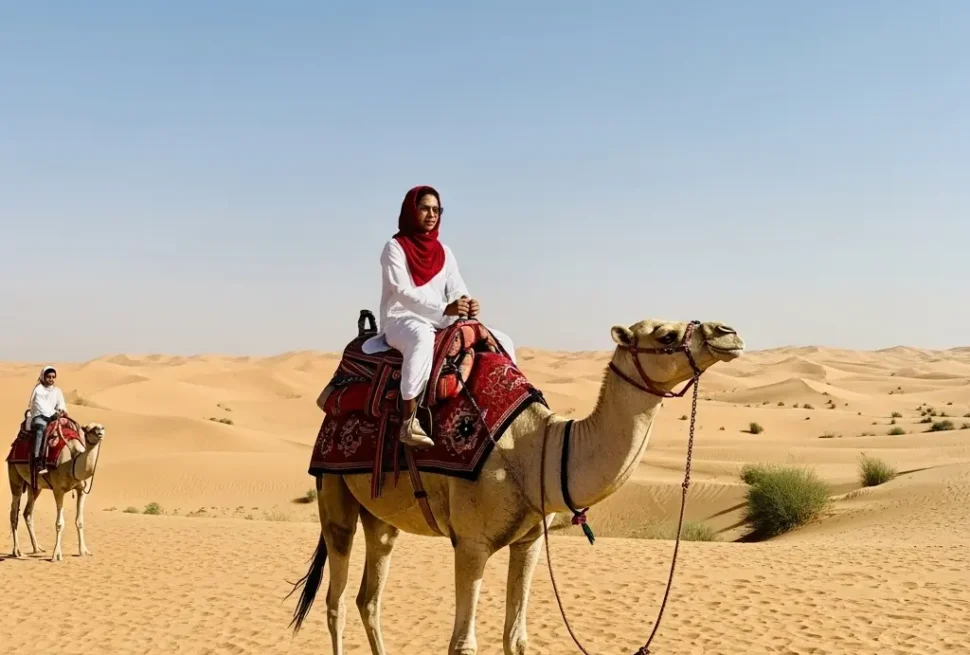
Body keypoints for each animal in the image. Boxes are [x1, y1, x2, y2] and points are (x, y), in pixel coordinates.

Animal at [8, 422, 106, 562]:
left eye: (101, 427)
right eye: (88, 429)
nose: (100, 432)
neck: (72, 462)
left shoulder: (82, 491)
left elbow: (80, 521)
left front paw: (84, 551)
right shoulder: (58, 490)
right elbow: (59, 523)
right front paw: (56, 555)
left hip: (35, 487)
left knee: (27, 512)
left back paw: (37, 548)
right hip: (14, 474)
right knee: (13, 512)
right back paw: (17, 551)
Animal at [289, 318, 744, 655]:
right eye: (666, 335)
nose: (729, 332)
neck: (539, 450)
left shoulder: (530, 541)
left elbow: (517, 638)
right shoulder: (471, 544)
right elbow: (463, 644)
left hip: (381, 517)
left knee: (369, 597)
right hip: (333, 493)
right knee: (336, 601)